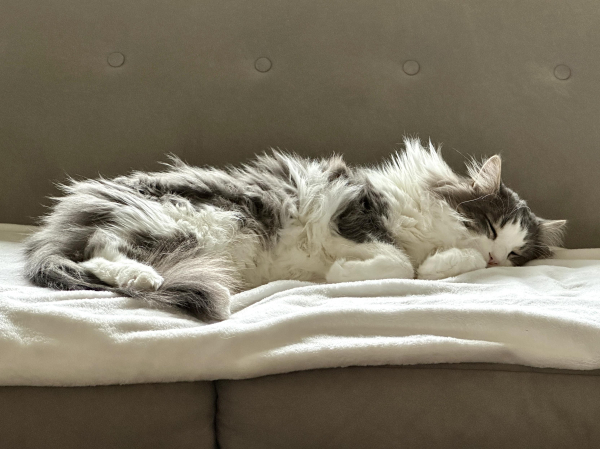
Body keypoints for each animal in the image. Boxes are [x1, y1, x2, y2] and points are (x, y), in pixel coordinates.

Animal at [24, 138, 568, 320]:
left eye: (516, 254)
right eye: (488, 224)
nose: (498, 256)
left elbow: (427, 265)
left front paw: (441, 264)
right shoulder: (354, 213)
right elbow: (397, 261)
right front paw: (342, 273)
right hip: (196, 221)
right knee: (101, 250)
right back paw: (143, 278)